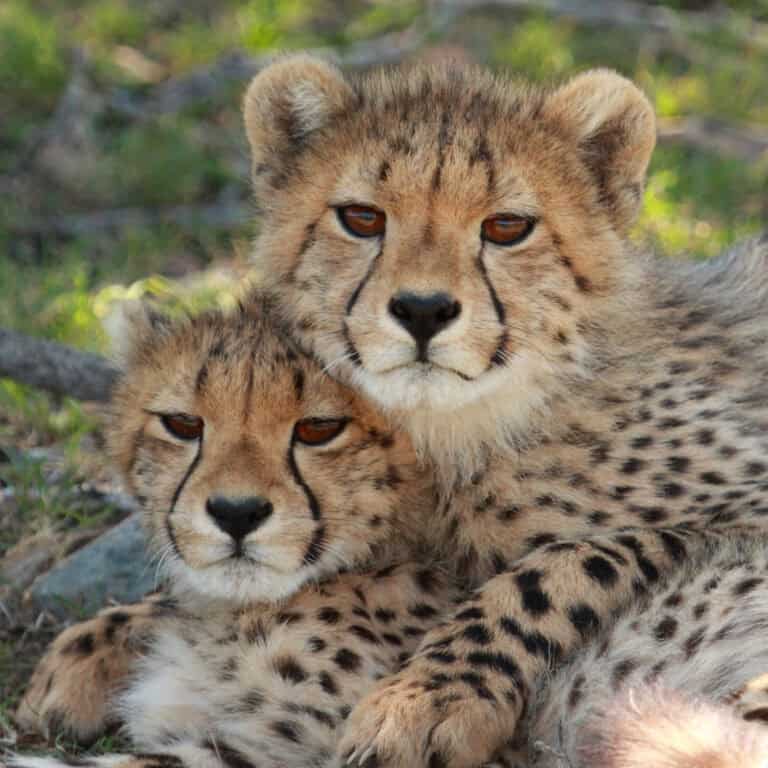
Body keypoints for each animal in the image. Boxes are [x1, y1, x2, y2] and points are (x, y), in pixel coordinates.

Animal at [17, 56, 768, 768]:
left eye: (507, 227)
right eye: (363, 218)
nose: (423, 309)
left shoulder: (739, 519)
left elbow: (563, 563)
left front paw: (427, 699)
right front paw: (95, 647)